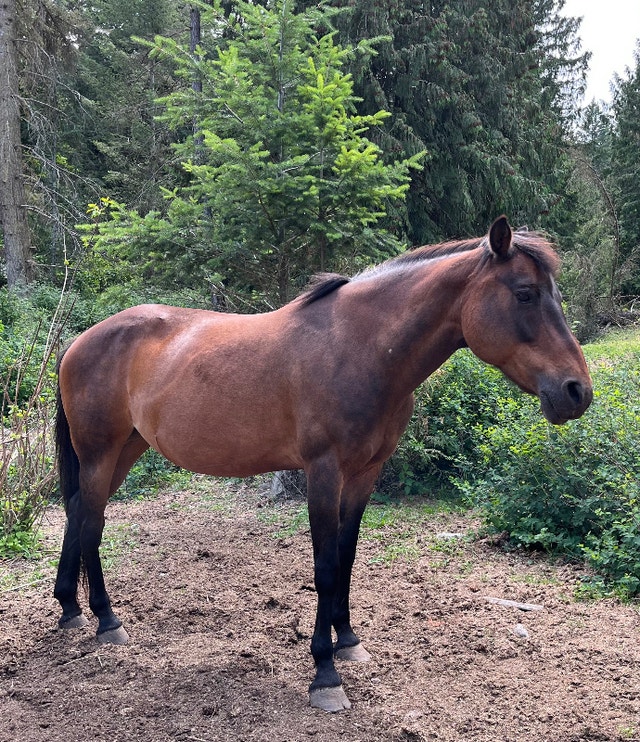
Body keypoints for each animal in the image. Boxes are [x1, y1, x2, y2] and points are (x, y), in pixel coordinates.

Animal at [53, 216, 592, 712]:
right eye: (525, 294)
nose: (576, 392)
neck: (359, 348)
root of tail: (80, 341)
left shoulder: (364, 474)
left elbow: (347, 557)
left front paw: (348, 641)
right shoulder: (323, 473)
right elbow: (326, 566)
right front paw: (325, 674)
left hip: (125, 450)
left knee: (78, 512)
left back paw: (70, 610)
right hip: (101, 452)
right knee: (92, 523)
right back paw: (107, 621)